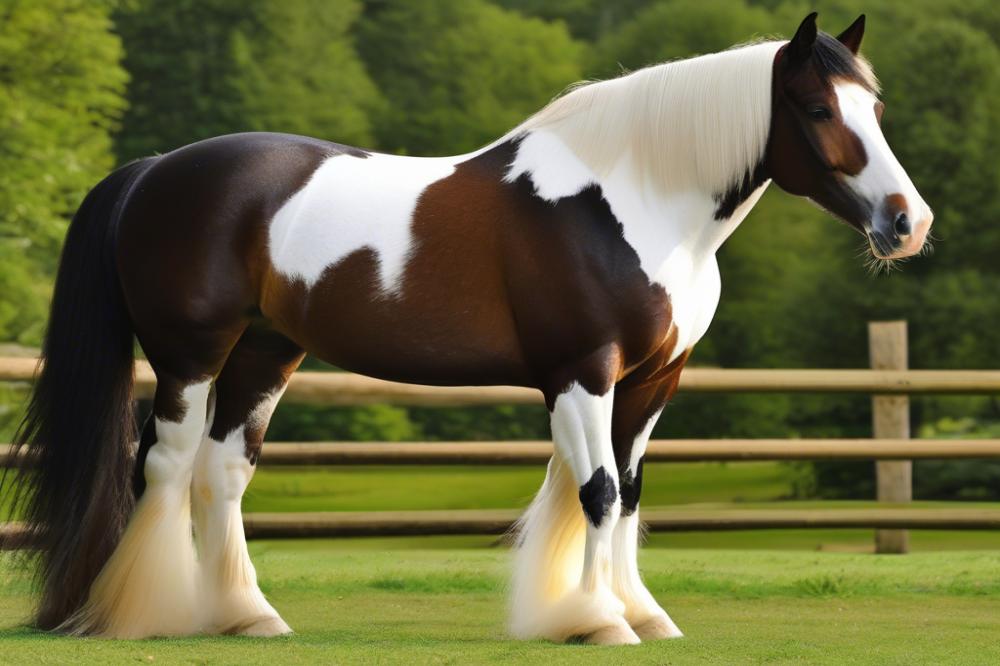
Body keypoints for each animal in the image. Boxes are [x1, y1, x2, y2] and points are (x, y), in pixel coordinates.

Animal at [3, 11, 932, 644]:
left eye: (876, 107)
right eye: (816, 108)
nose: (907, 222)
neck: (625, 203)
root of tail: (158, 168)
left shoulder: (652, 380)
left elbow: (629, 494)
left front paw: (639, 614)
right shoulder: (580, 371)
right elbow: (597, 493)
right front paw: (598, 621)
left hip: (267, 353)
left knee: (222, 473)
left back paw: (247, 615)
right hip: (190, 353)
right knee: (163, 468)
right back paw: (148, 614)